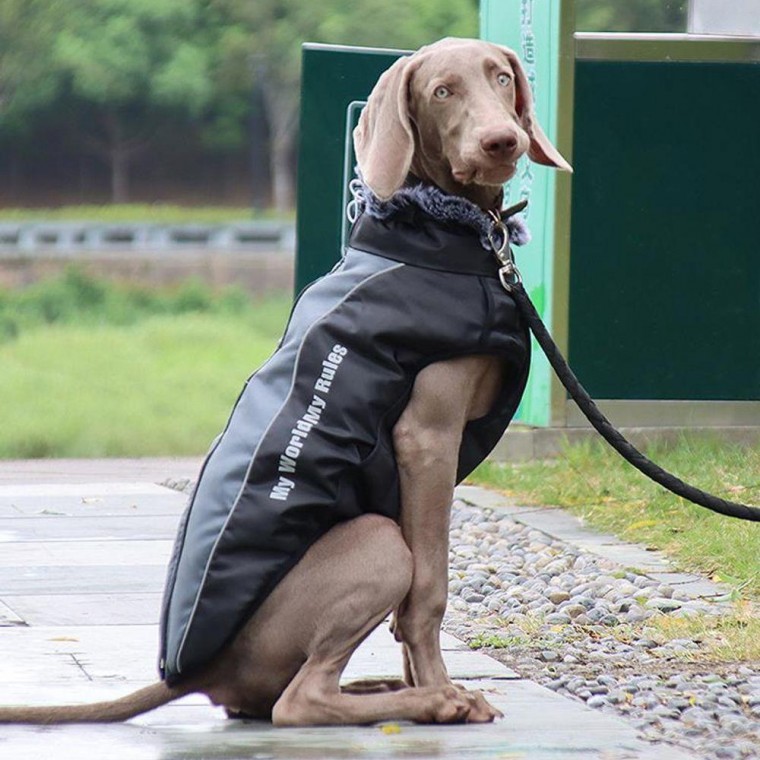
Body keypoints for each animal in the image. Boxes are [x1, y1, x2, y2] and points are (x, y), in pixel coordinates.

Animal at [0, 35, 568, 724]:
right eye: (442, 91)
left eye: (502, 77)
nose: (502, 142)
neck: (440, 233)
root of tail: (194, 674)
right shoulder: (427, 437)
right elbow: (429, 589)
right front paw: (443, 688)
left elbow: (411, 612)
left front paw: (428, 679)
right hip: (377, 539)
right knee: (297, 703)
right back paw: (427, 702)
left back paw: (390, 690)